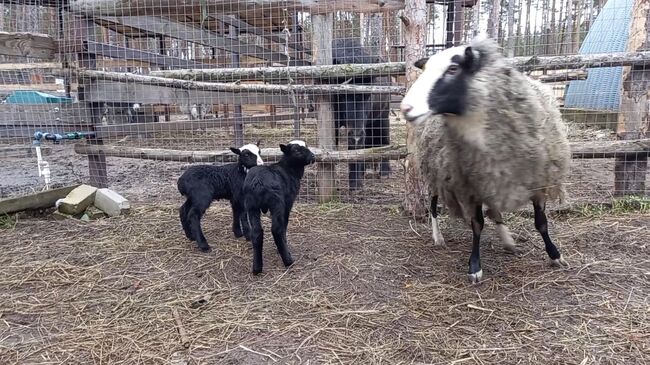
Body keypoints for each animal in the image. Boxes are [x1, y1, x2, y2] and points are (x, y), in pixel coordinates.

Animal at [242, 139, 316, 272]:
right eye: (296, 151)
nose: (313, 157)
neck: (289, 169)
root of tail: (258, 182)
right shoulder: (288, 203)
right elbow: (284, 225)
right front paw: (284, 243)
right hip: (277, 203)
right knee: (276, 229)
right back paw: (288, 260)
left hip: (251, 205)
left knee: (256, 232)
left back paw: (257, 268)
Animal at [400, 36, 568, 282]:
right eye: (425, 69)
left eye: (453, 69)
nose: (405, 108)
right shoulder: (470, 186)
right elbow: (477, 225)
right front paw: (475, 266)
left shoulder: (538, 180)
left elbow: (541, 223)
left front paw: (555, 255)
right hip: (436, 172)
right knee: (432, 206)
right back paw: (438, 237)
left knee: (495, 211)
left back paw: (507, 241)